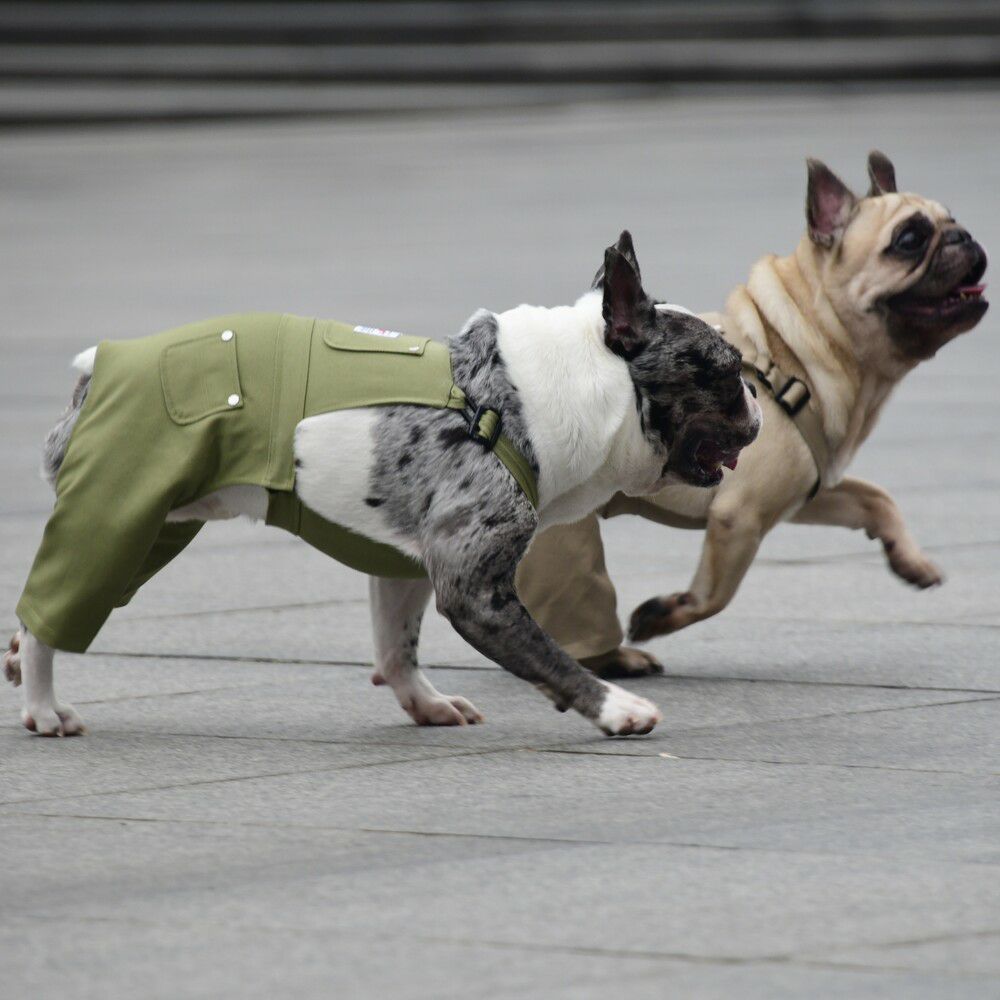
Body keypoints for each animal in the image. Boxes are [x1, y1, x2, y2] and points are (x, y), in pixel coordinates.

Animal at [3, 232, 761, 737]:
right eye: (728, 371)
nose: (759, 403)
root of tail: (100, 366)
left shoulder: (406, 566)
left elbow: (397, 644)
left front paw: (424, 703)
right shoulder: (474, 587)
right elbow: (547, 654)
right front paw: (615, 707)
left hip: (155, 524)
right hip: (117, 520)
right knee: (48, 616)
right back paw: (42, 706)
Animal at [516, 153, 989, 669]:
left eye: (952, 220)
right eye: (908, 240)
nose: (964, 236)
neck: (794, 351)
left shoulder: (806, 493)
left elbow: (877, 498)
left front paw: (911, 560)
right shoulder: (740, 516)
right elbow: (715, 597)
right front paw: (665, 613)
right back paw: (611, 657)